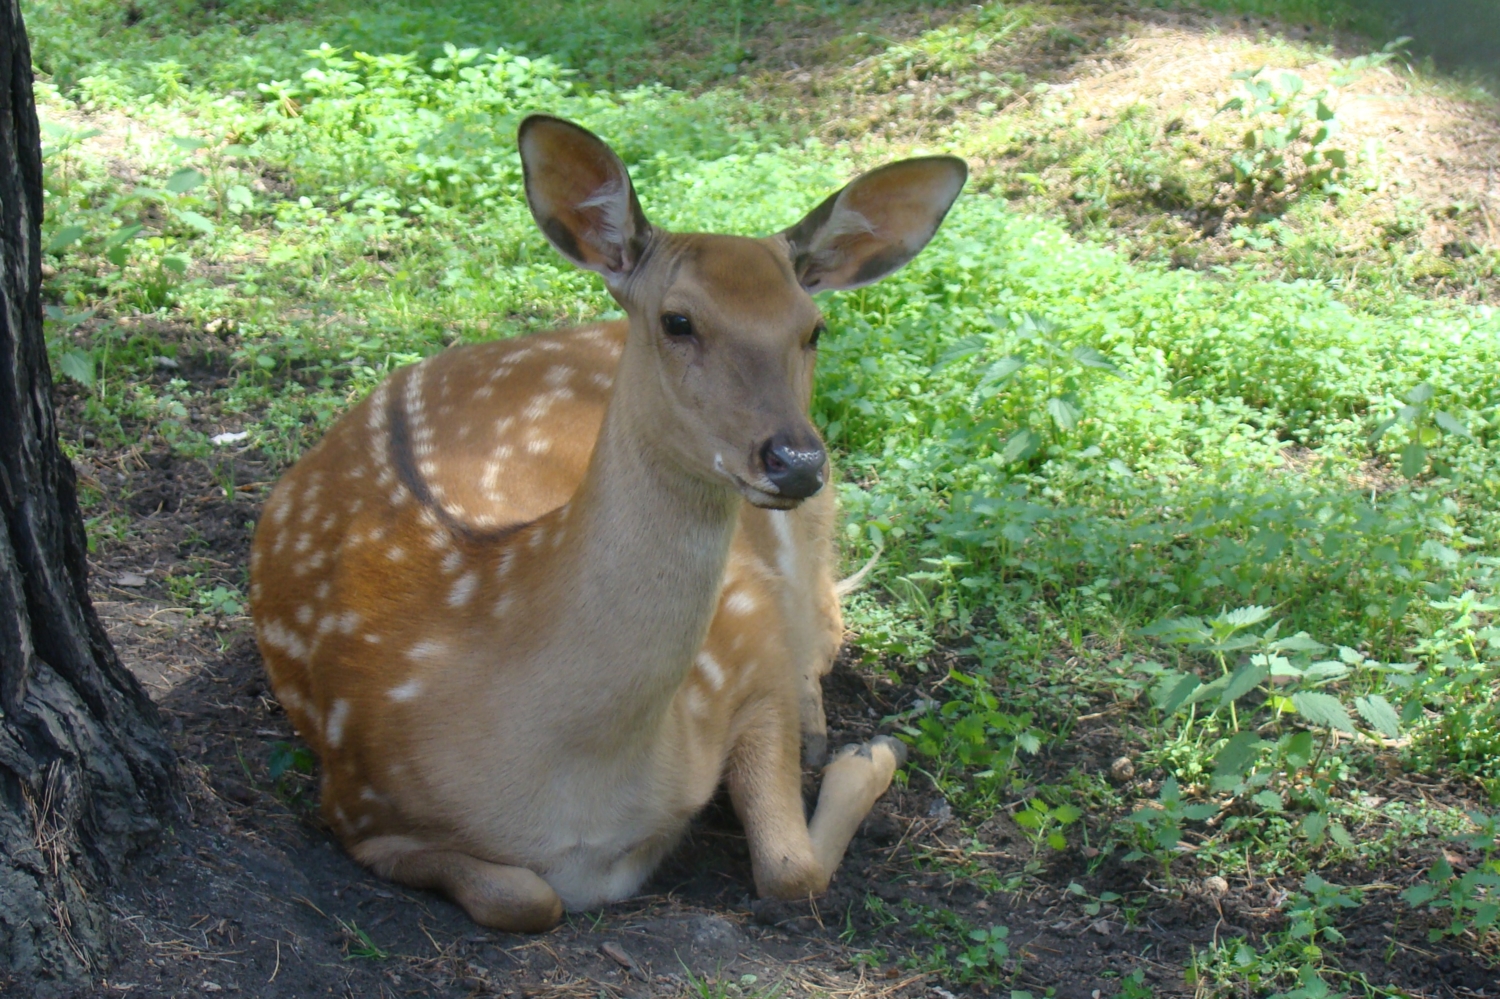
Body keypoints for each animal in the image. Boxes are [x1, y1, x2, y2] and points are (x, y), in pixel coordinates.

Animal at [250, 114, 966, 924]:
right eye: (677, 320)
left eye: (813, 328)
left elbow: (791, 868)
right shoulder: (357, 805)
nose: (795, 460)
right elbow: (523, 897)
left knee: (825, 631)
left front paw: (868, 753)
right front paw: (868, 752)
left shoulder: (747, 643)